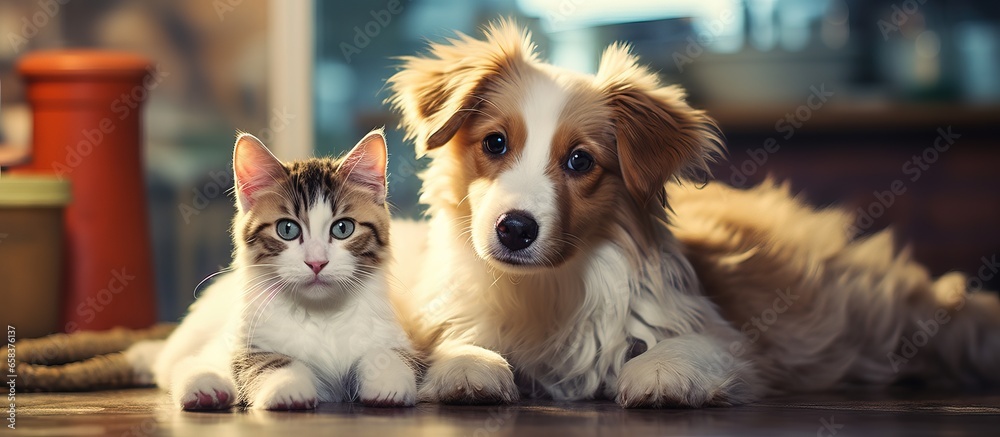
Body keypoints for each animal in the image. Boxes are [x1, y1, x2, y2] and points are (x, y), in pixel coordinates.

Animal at [136, 127, 414, 408]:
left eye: (343, 228)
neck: (321, 314)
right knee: (181, 363)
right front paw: (288, 387)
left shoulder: (396, 335)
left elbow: (390, 353)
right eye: (287, 229)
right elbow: (271, 361)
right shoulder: (249, 342)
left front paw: (387, 381)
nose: (316, 262)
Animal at [386, 18, 1000, 408]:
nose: (514, 229)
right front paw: (468, 366)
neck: (547, 289)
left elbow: (688, 347)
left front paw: (659, 373)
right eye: (494, 143)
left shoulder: (728, 336)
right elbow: (458, 343)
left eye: (580, 160)